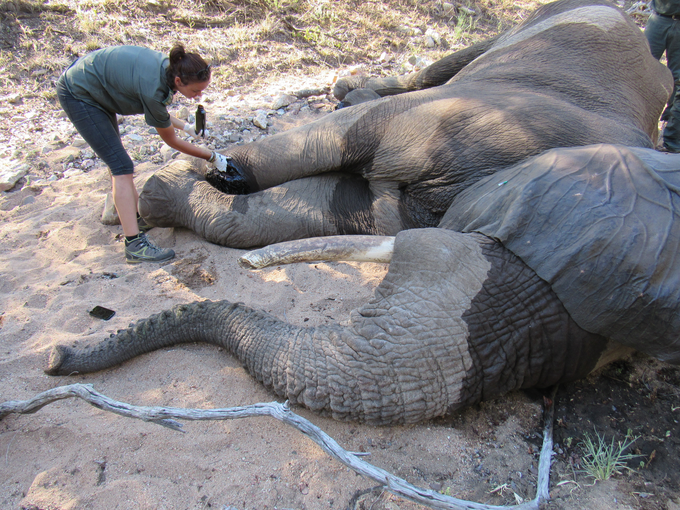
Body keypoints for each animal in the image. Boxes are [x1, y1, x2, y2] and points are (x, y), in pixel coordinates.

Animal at [43, 0, 680, 426]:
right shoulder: (468, 115)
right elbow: (329, 143)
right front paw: (149, 195)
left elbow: (316, 208)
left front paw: (162, 194)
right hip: (523, 35)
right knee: (423, 77)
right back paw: (347, 88)